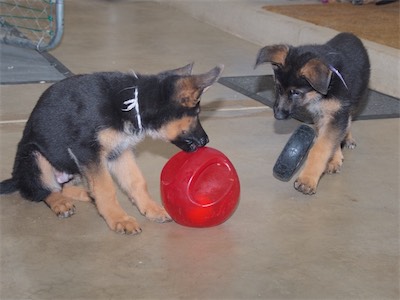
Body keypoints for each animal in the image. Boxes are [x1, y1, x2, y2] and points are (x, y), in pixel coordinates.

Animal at [0, 62, 223, 232]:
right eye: (196, 114)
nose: (206, 141)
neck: (132, 103)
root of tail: (17, 178)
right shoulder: (88, 152)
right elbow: (106, 188)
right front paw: (119, 219)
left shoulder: (120, 152)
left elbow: (136, 182)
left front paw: (151, 209)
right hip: (34, 157)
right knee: (43, 190)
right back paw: (59, 202)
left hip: (74, 168)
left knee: (63, 186)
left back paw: (85, 194)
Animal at [258, 32, 370, 195]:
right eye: (278, 88)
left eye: (296, 92)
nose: (278, 116)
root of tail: (350, 35)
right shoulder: (321, 114)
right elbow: (329, 141)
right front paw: (334, 159)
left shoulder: (337, 113)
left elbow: (322, 146)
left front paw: (307, 180)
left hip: (355, 100)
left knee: (348, 120)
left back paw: (348, 139)